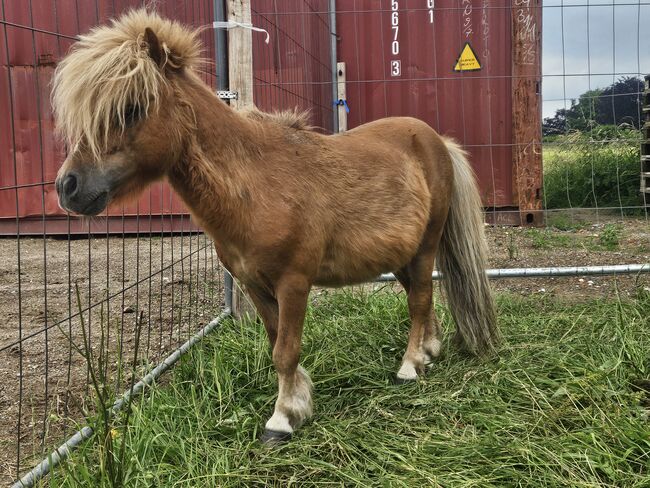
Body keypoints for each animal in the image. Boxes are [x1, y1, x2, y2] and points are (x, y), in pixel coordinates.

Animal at [54, 8, 496, 442]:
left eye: (130, 109)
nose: (67, 186)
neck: (257, 187)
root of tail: (435, 140)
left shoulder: (293, 284)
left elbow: (286, 351)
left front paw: (282, 418)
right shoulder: (254, 285)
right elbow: (274, 344)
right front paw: (296, 402)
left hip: (426, 247)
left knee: (419, 301)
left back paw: (410, 365)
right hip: (403, 256)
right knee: (423, 298)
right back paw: (429, 351)